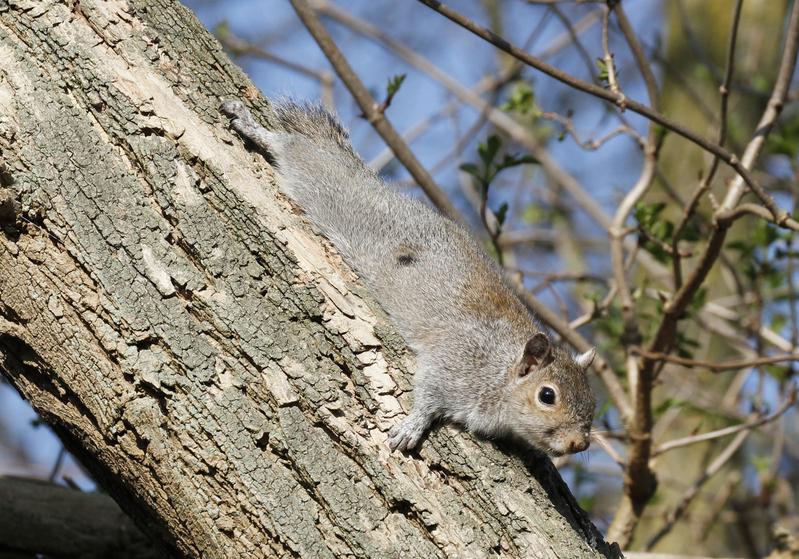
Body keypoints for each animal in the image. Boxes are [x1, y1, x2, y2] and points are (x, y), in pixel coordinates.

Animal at [222, 99, 596, 460]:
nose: (579, 444)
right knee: (294, 148)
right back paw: (253, 126)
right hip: (322, 181)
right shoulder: (456, 361)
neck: (502, 370)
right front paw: (413, 426)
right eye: (547, 396)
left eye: (592, 402)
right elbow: (428, 394)